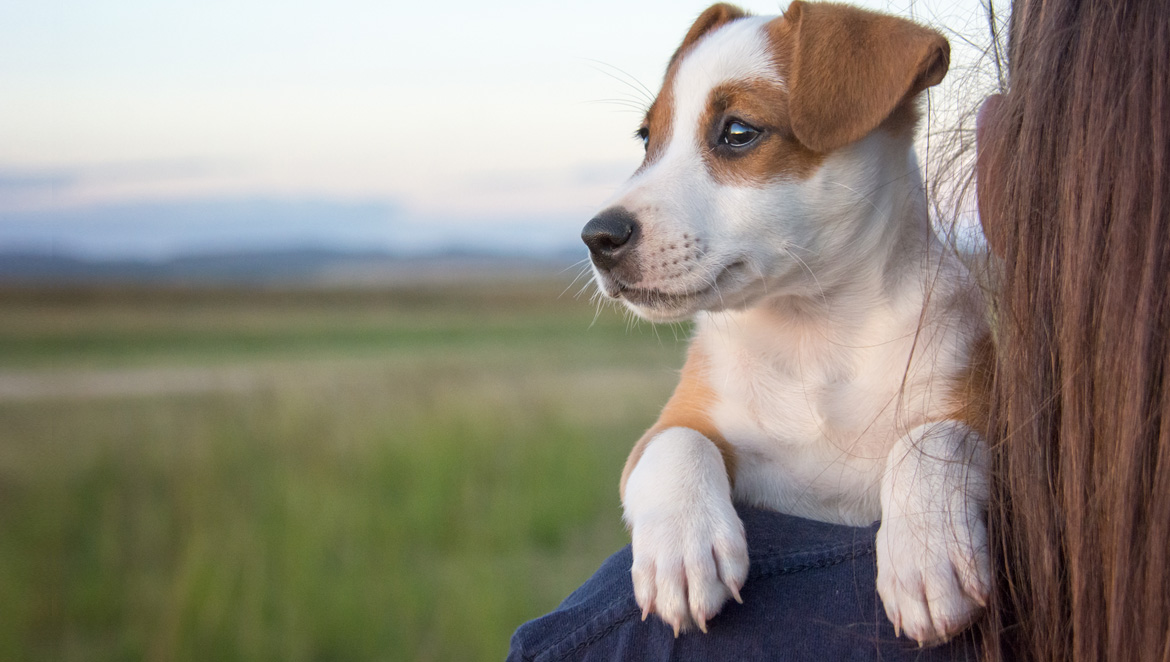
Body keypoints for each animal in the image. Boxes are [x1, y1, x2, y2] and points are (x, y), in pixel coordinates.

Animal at [580, 1, 992, 650]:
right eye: (648, 138)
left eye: (738, 133)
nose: (598, 237)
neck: (813, 337)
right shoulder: (669, 429)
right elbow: (680, 440)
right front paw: (682, 550)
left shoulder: (983, 405)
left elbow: (933, 437)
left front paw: (929, 553)